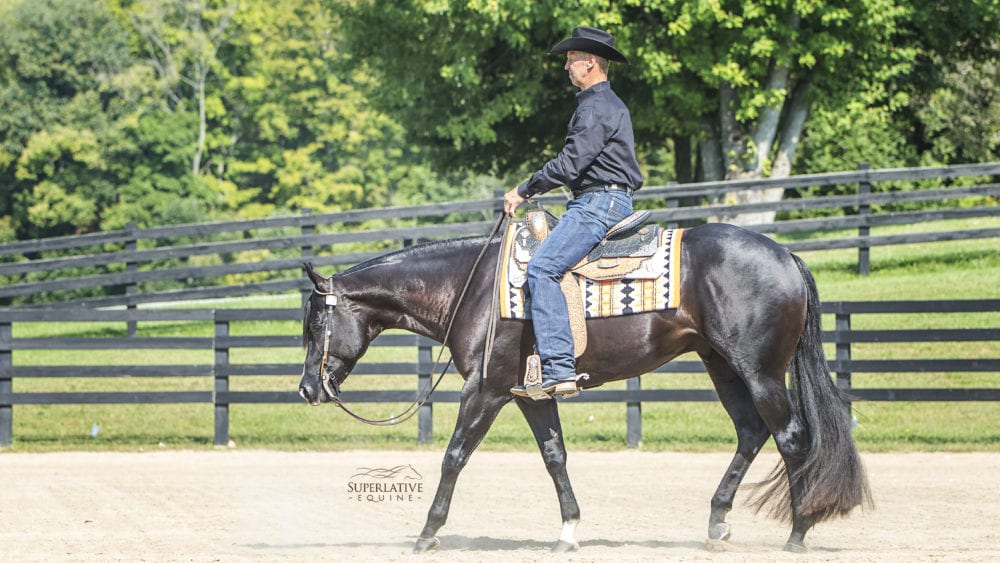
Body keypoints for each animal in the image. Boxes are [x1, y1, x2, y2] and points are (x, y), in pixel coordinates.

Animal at [297, 221, 872, 553]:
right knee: (752, 433)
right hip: (722, 365)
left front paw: (426, 534)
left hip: (759, 371)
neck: (470, 288)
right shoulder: (529, 394)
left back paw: (798, 533)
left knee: (791, 438)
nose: (306, 390)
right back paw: (717, 524)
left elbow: (454, 456)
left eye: (316, 323)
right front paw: (569, 531)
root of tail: (786, 256)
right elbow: (555, 457)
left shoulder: (484, 391)